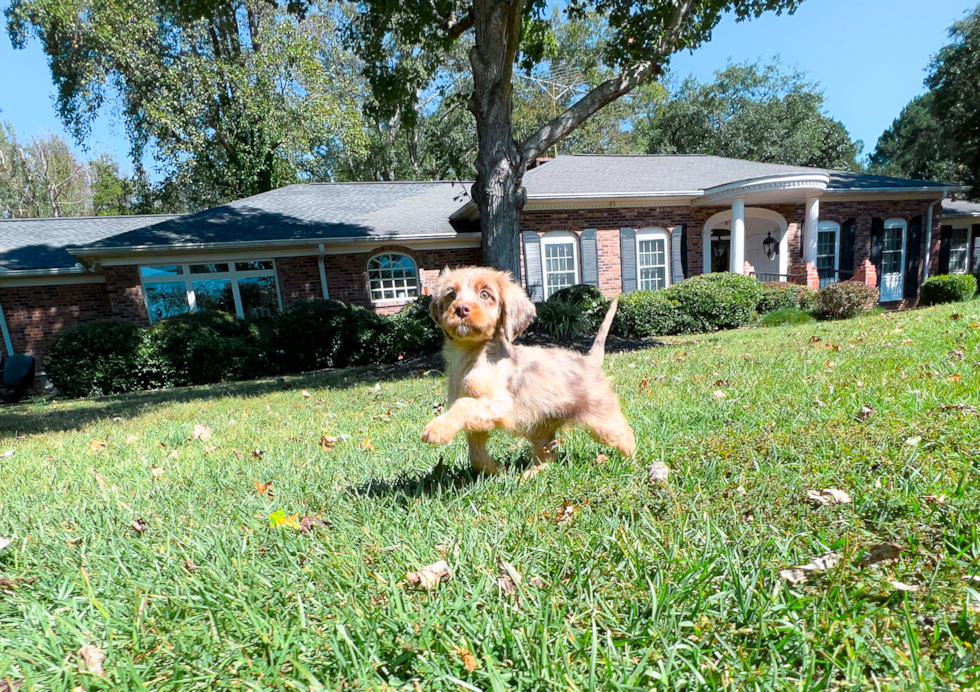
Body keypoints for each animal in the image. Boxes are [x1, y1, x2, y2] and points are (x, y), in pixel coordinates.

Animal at [420, 264, 636, 470]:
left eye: (485, 294)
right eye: (451, 295)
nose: (461, 309)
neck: (470, 355)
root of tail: (590, 360)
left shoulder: (501, 403)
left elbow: (464, 404)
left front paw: (436, 429)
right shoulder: (479, 423)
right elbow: (476, 456)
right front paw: (498, 470)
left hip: (603, 421)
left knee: (626, 435)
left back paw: (632, 465)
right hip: (540, 427)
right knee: (547, 456)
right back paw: (529, 474)